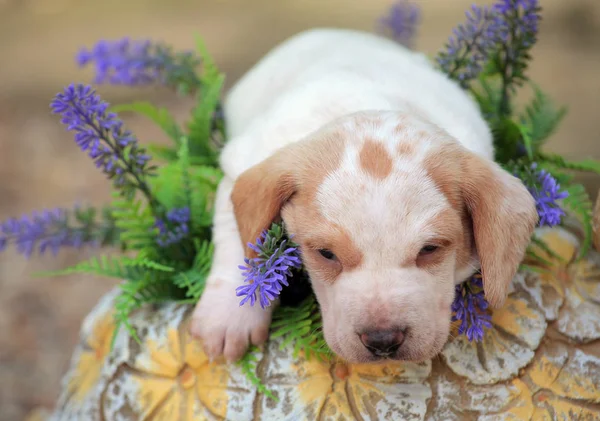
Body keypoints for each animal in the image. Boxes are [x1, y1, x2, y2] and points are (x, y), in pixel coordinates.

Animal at [190, 28, 536, 360]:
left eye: (430, 249)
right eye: (326, 254)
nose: (382, 341)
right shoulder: (239, 168)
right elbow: (242, 245)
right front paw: (229, 317)